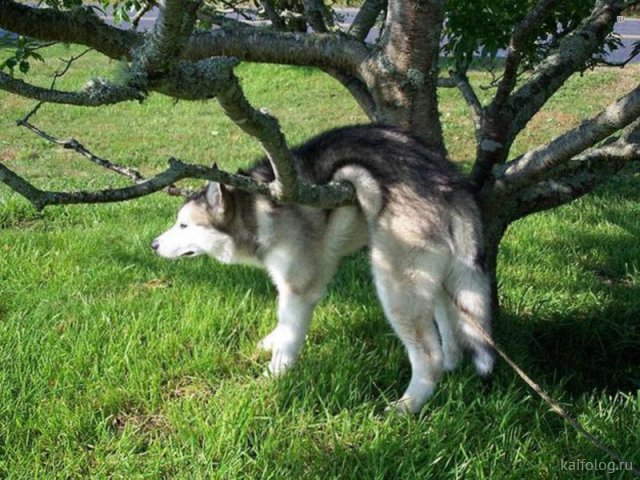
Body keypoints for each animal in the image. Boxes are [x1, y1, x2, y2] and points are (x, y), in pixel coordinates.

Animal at [152, 124, 495, 413]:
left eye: (184, 225)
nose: (153, 245)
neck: (258, 209)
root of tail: (450, 183)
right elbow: (282, 324)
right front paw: (271, 342)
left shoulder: (299, 287)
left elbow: (290, 334)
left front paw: (273, 376)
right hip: (438, 277)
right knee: (449, 324)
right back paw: (451, 364)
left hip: (395, 284)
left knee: (428, 354)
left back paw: (408, 405)